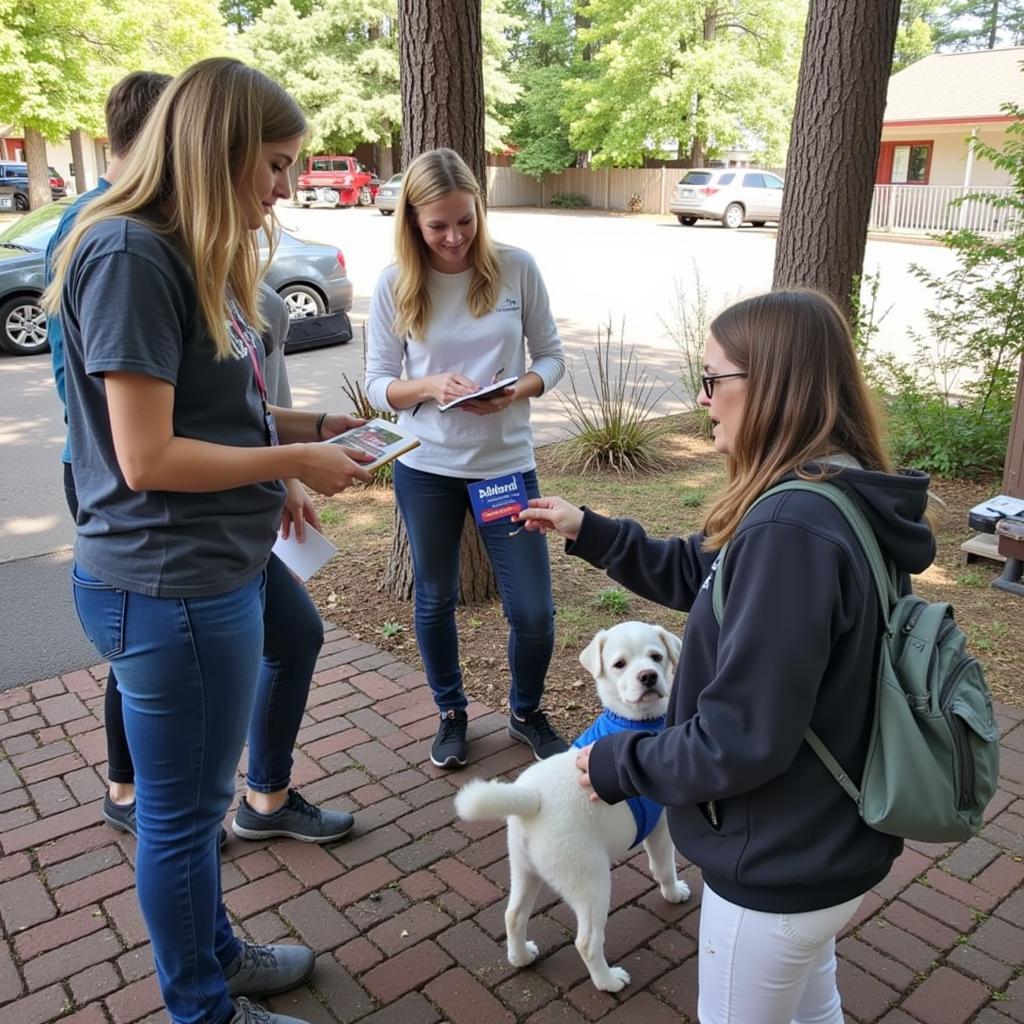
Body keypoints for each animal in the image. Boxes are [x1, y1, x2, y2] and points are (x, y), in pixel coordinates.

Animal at [454, 618, 688, 987]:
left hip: (523, 870)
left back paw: (521, 957)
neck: (632, 721)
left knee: (513, 915)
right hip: (592, 881)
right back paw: (608, 981)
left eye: (656, 656)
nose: (648, 676)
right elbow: (664, 867)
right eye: (619, 664)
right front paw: (674, 893)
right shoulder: (660, 828)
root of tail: (533, 800)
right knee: (587, 942)